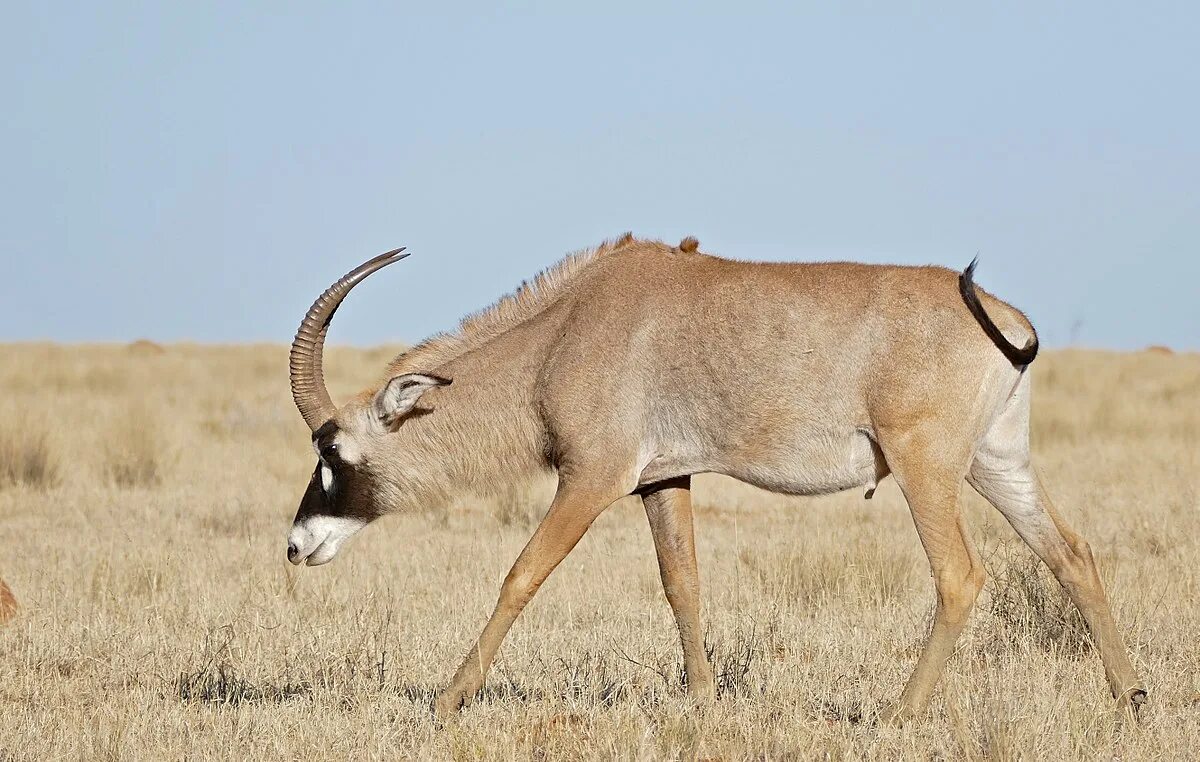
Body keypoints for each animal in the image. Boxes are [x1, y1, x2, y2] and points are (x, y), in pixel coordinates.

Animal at [285, 237, 1147, 720]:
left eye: (333, 453)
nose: (296, 547)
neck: (569, 327)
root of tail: (1005, 318)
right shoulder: (662, 482)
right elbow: (683, 584)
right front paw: (700, 700)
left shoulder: (592, 480)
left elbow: (521, 574)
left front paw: (450, 697)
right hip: (996, 465)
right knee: (1071, 554)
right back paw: (1129, 702)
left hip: (924, 465)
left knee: (961, 576)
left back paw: (899, 716)